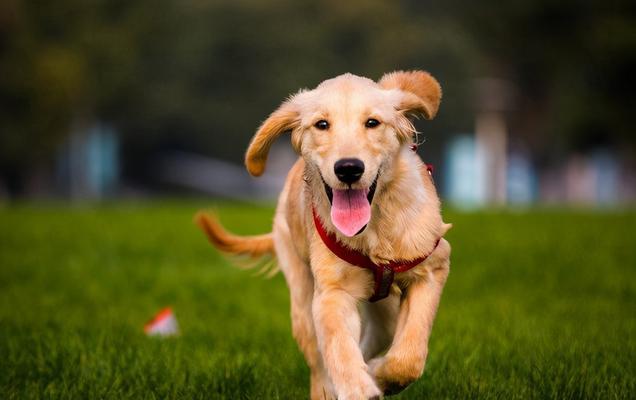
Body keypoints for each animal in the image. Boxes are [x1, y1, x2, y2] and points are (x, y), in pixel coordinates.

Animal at [196, 70, 450, 398]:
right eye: (322, 124)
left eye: (372, 122)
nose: (349, 168)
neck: (373, 232)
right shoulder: (331, 293)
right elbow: (339, 348)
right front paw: (358, 386)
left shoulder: (431, 268)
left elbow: (409, 357)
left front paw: (379, 376)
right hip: (302, 299)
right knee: (320, 363)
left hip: (386, 310)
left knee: (376, 337)